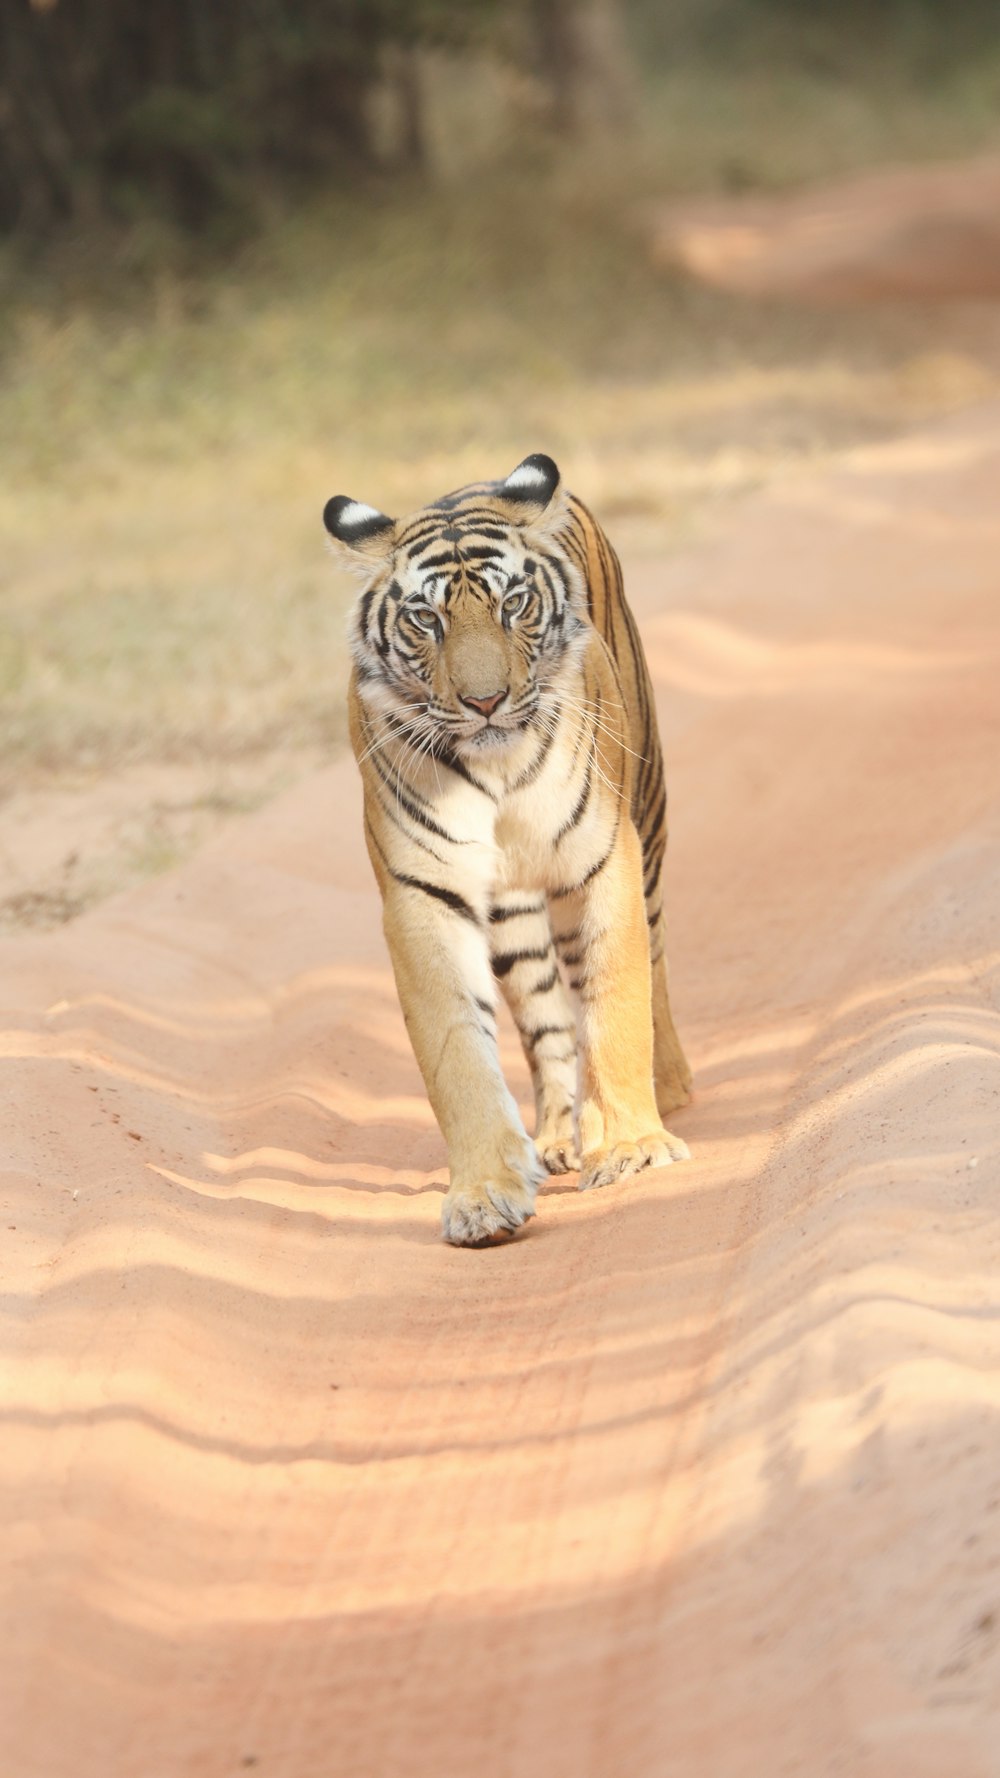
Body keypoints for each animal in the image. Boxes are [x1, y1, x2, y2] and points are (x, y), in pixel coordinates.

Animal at [323, 451, 690, 1244]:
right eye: (425, 618)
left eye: (512, 605)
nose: (485, 702)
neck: (497, 771)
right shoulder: (425, 897)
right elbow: (457, 1051)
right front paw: (484, 1195)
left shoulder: (605, 860)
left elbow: (617, 999)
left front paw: (634, 1148)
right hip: (516, 919)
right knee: (547, 1019)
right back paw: (558, 1135)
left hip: (647, 816)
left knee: (650, 960)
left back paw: (660, 1092)